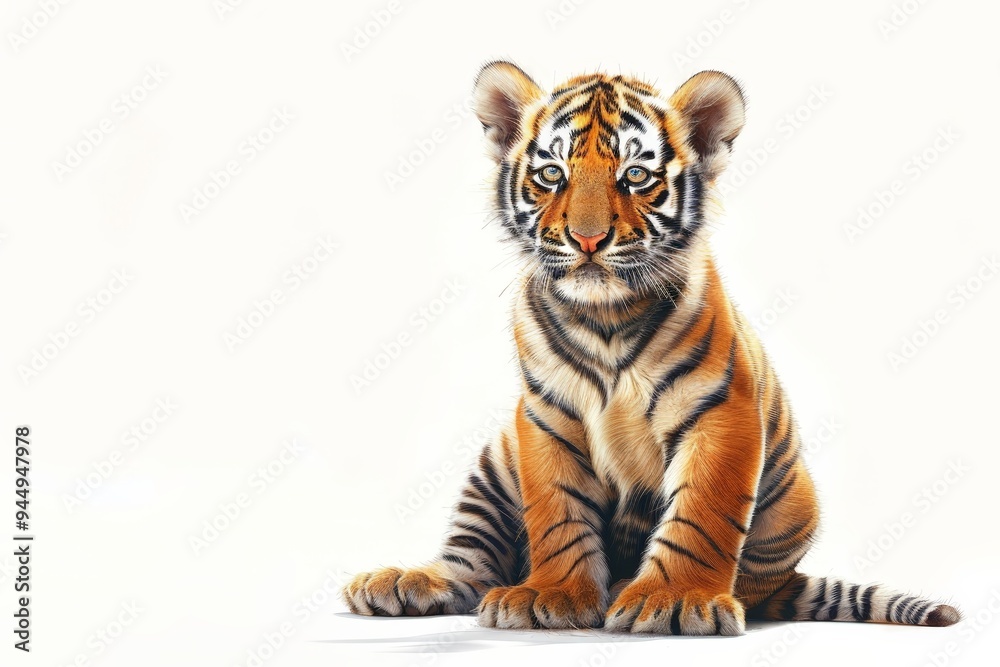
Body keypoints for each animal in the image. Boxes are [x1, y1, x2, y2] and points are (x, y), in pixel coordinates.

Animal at [341, 61, 961, 635]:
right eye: (552, 174)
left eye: (636, 175)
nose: (587, 239)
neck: (604, 318)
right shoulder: (544, 416)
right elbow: (557, 514)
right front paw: (552, 596)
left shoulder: (721, 413)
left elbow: (701, 517)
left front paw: (675, 600)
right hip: (497, 458)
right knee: (469, 563)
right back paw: (403, 582)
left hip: (794, 508)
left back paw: (627, 586)